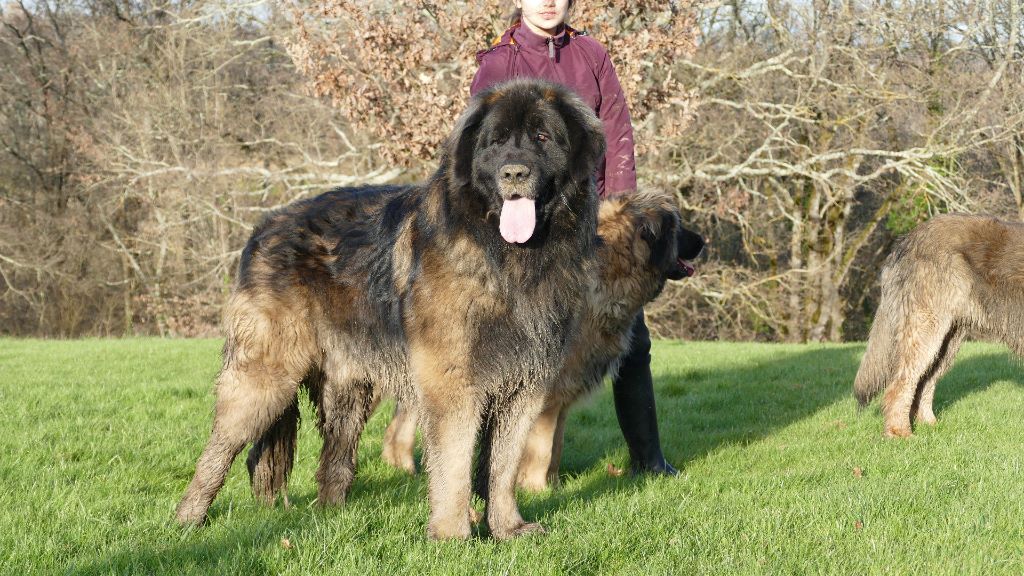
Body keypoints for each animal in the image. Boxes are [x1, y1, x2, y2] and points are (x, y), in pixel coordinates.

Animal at [176, 80, 606, 537]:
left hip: (349, 386)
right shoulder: (453, 383)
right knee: (220, 451)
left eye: (542, 138)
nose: (514, 173)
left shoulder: (525, 385)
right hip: (265, 375)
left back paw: (321, 515)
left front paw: (507, 529)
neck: (506, 257)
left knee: (327, 459)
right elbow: (454, 465)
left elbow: (502, 468)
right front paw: (453, 535)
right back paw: (189, 520)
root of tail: (263, 227)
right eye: (496, 142)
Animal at [851, 214, 1019, 434]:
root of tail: (908, 239)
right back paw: (900, 432)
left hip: (947, 339)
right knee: (902, 383)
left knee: (924, 382)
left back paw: (930, 425)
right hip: (926, 327)